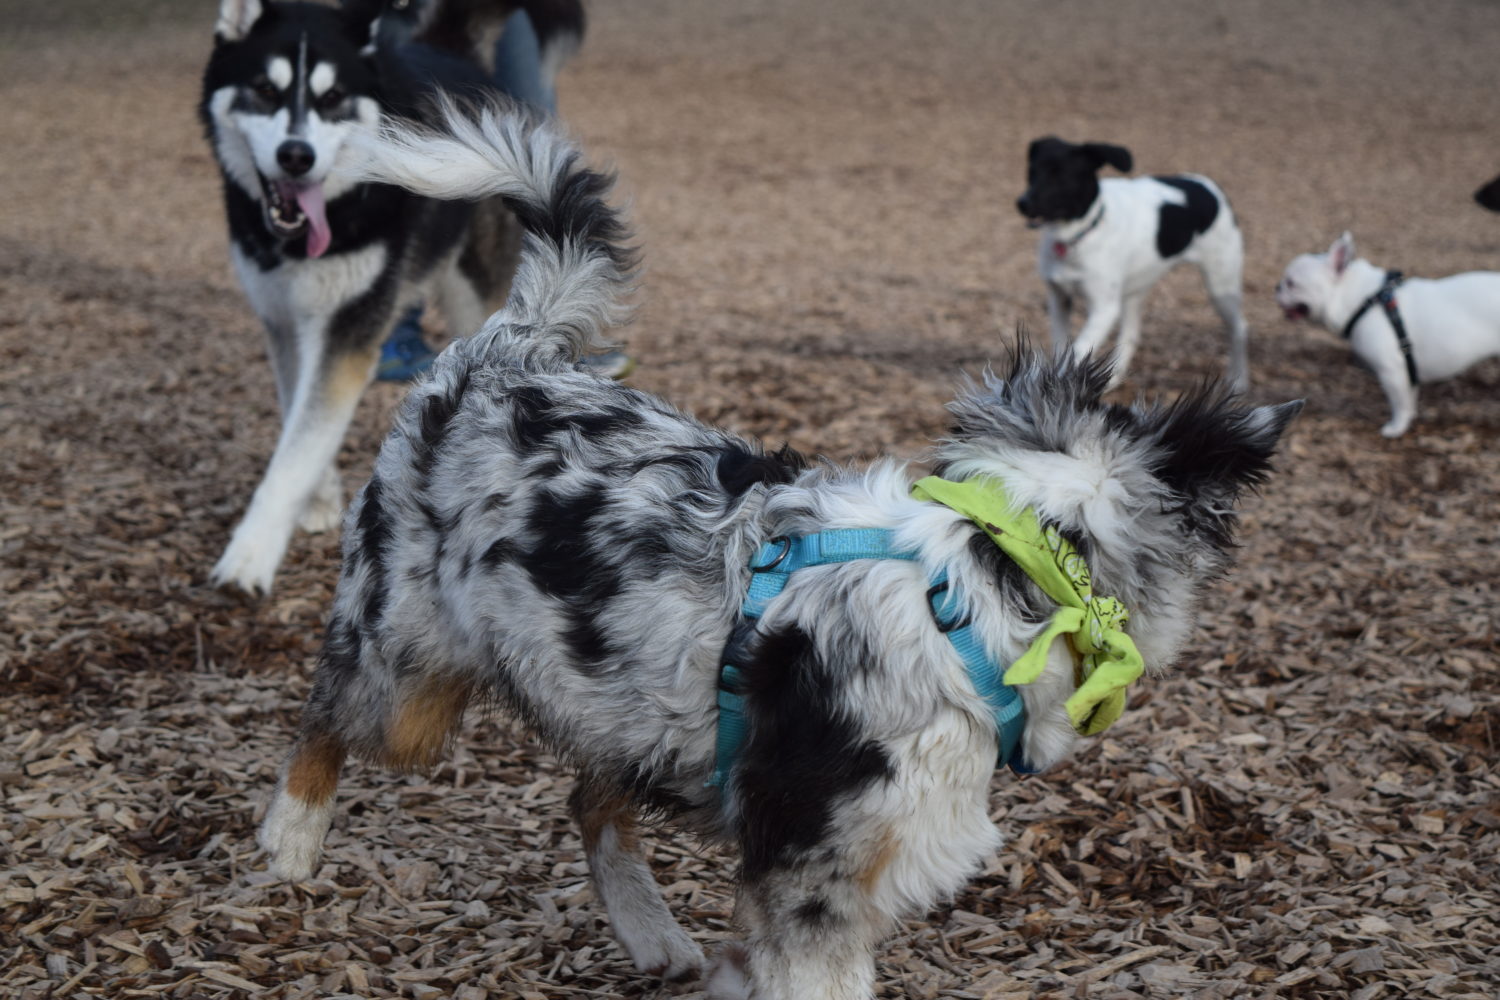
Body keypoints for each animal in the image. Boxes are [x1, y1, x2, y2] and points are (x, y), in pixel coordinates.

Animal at [204, 0, 585, 593]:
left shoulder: (350, 326)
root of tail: (453, 50)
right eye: (265, 89)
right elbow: (299, 418)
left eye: (333, 98)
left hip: (477, 291)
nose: (296, 156)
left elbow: (297, 447)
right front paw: (319, 498)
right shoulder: (283, 318)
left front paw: (250, 555)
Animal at [1020, 137, 1254, 395]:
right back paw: (1113, 379)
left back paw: (1239, 381)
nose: (1022, 203)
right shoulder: (1059, 298)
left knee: (1240, 328)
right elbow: (1062, 348)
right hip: (1135, 289)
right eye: (1032, 172)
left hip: (1221, 285)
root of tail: (1210, 186)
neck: (1080, 232)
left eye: (1061, 176)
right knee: (1131, 334)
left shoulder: (1104, 308)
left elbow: (1077, 351)